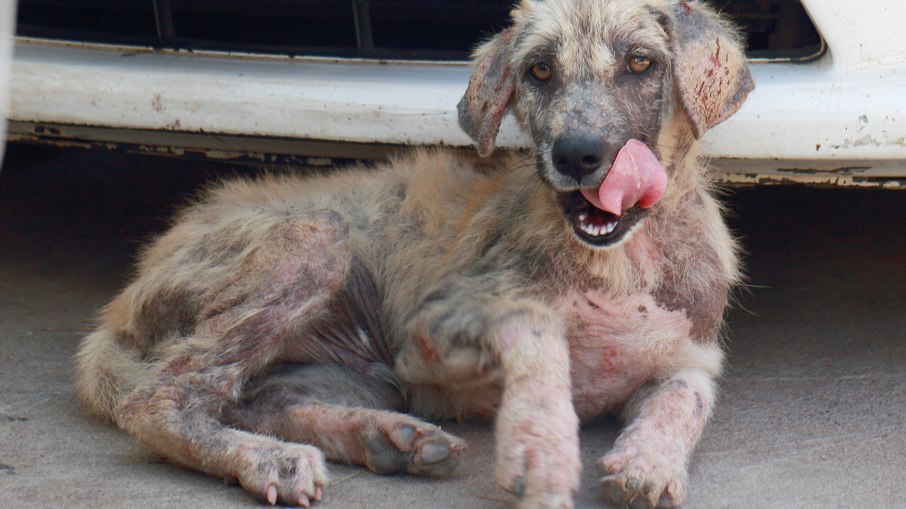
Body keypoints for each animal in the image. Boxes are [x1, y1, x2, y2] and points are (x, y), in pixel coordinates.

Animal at [76, 0, 756, 506]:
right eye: (539, 71)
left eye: (641, 62)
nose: (577, 154)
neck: (621, 261)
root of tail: (123, 300)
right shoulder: (434, 327)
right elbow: (535, 328)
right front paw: (539, 441)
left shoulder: (689, 358)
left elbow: (684, 401)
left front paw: (649, 461)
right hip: (314, 240)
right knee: (161, 400)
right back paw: (273, 461)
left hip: (348, 371)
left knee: (255, 400)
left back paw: (383, 437)